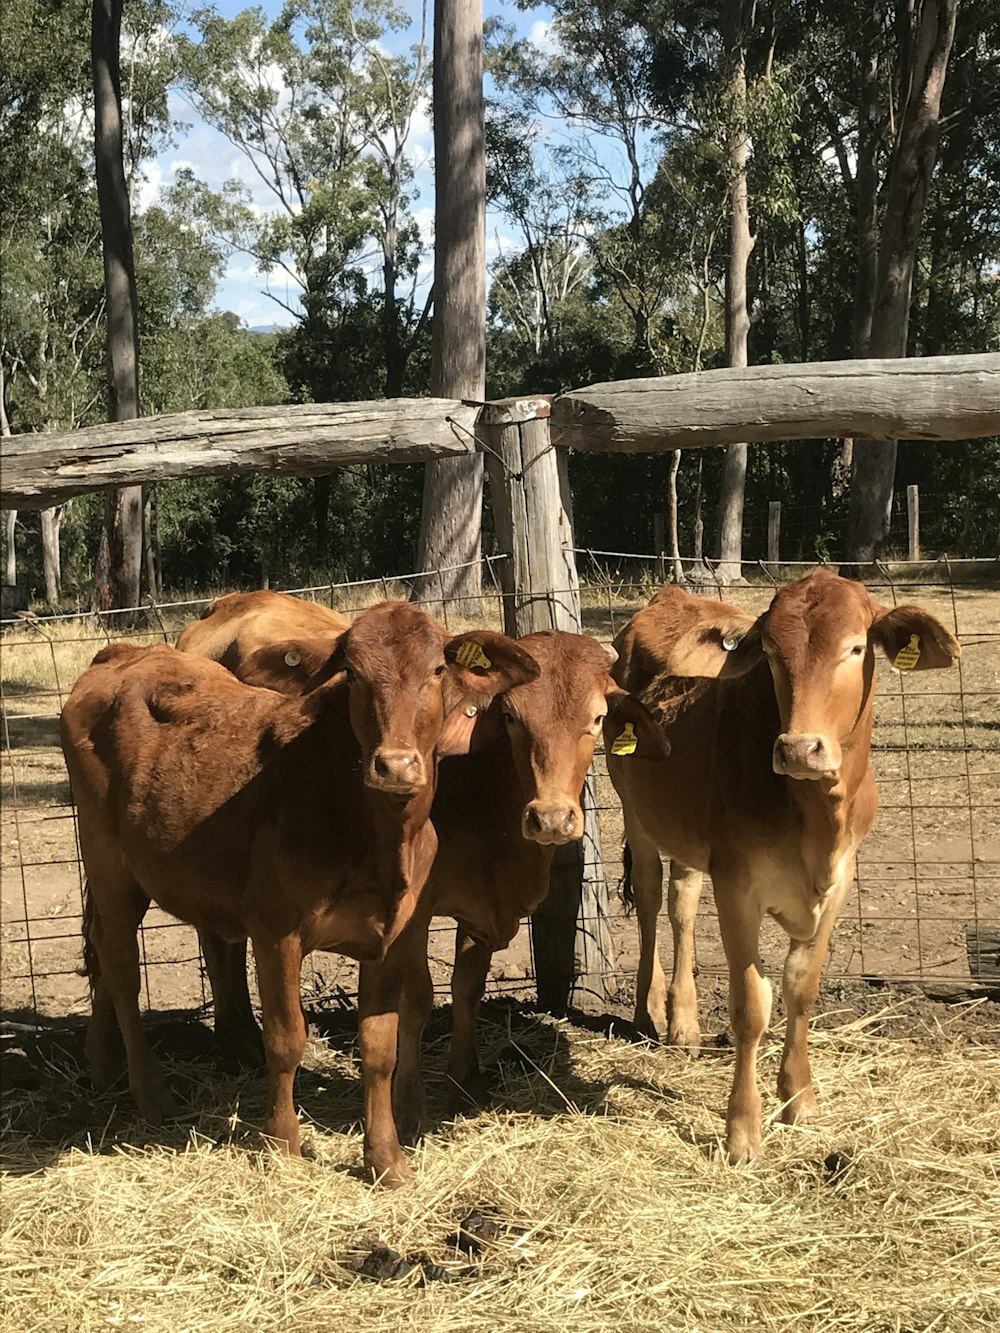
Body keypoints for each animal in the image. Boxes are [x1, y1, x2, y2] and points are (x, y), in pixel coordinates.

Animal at [61, 599, 541, 1183]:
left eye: (436, 671)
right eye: (353, 674)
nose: (395, 765)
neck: (379, 837)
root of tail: (124, 654)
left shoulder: (397, 934)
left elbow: (380, 1047)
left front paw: (386, 1159)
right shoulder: (277, 931)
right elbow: (287, 1039)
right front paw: (282, 1144)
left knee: (103, 950)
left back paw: (104, 1063)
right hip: (110, 865)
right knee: (122, 966)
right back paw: (151, 1094)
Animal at [610, 567, 965, 1162]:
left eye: (855, 647)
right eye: (774, 655)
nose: (800, 749)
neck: (815, 815)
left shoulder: (841, 877)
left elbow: (802, 986)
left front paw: (799, 1097)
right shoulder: (737, 884)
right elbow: (752, 1004)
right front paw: (743, 1131)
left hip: (689, 838)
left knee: (682, 905)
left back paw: (684, 1022)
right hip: (636, 813)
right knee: (651, 897)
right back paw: (649, 1010)